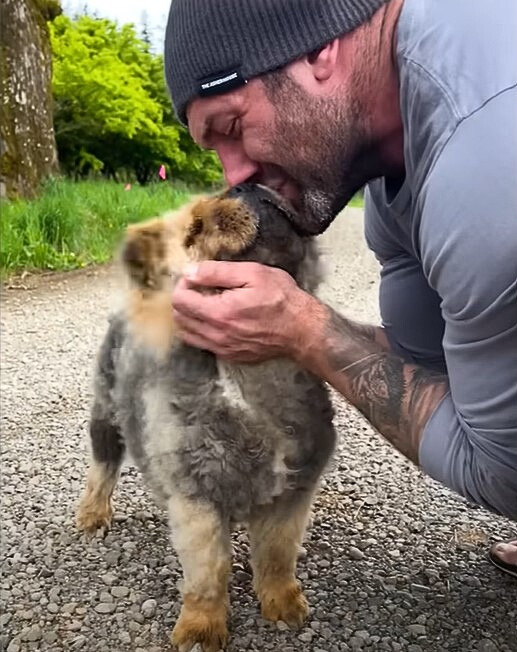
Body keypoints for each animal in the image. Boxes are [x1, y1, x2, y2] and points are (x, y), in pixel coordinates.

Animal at [75, 183, 334, 652]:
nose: (245, 185)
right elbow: (209, 574)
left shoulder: (293, 493)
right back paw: (92, 514)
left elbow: (276, 555)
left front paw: (282, 603)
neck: (250, 378)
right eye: (195, 228)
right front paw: (201, 628)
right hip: (105, 416)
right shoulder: (198, 499)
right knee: (102, 467)